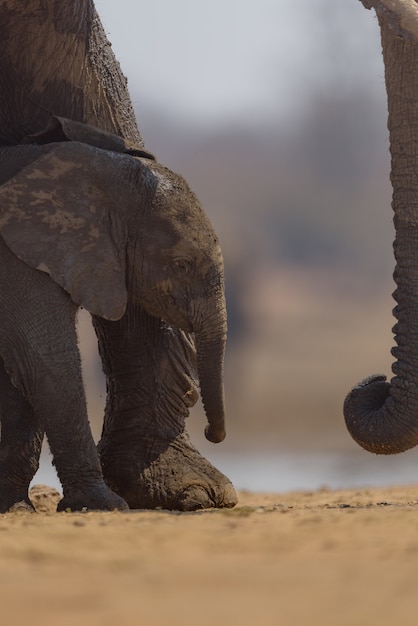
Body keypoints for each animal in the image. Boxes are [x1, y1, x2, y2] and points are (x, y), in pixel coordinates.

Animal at [0, 0, 237, 510]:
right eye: (182, 265)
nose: (215, 433)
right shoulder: (17, 257)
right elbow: (44, 358)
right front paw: (101, 504)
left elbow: (18, 369)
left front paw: (13, 506)